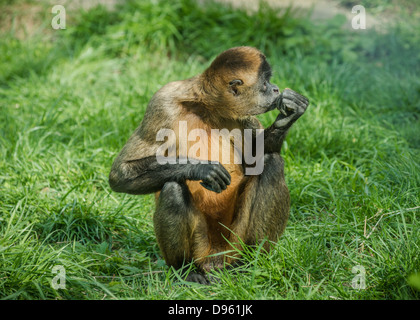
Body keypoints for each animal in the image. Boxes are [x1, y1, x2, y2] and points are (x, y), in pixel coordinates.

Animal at [110, 46, 310, 284]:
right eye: (265, 83)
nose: (276, 88)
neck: (207, 107)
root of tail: (215, 258)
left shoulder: (241, 115)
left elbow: (256, 160)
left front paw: (288, 115)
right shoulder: (163, 100)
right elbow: (120, 175)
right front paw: (201, 169)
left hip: (235, 240)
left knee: (272, 164)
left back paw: (249, 263)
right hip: (200, 245)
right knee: (173, 189)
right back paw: (185, 270)